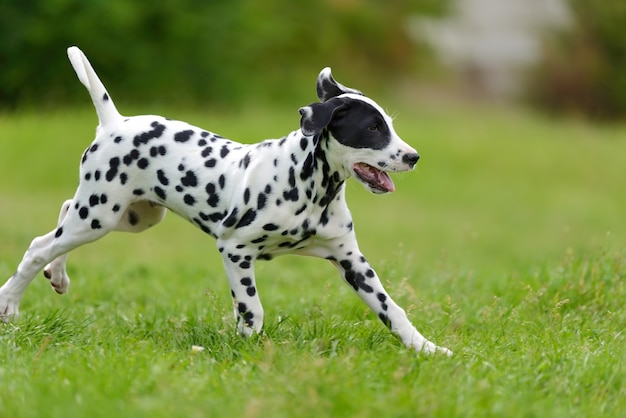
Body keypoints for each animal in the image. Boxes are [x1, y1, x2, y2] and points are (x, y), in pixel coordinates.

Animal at [0, 46, 448, 356]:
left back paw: (57, 275)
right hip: (99, 215)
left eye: (389, 125)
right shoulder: (235, 250)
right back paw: (10, 304)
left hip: (128, 216)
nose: (413, 156)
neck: (308, 189)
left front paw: (428, 349)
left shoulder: (351, 260)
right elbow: (252, 309)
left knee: (59, 219)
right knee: (38, 247)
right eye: (372, 128)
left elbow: (393, 310)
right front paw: (250, 348)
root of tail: (115, 123)